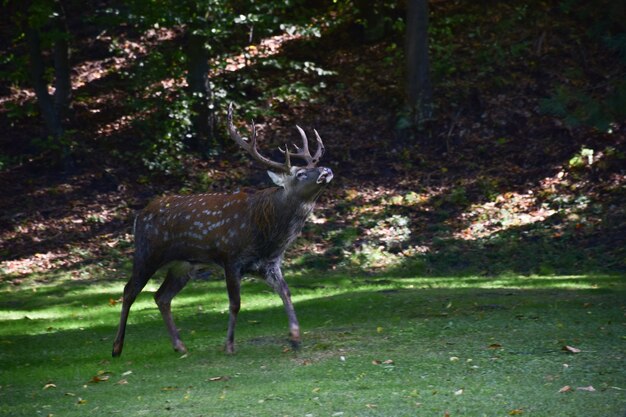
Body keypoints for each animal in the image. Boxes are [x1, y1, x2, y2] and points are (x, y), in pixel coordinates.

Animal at [111, 104, 332, 354]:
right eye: (300, 174)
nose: (326, 170)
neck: (266, 233)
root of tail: (138, 216)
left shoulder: (269, 264)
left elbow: (286, 292)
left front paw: (295, 337)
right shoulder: (230, 257)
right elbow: (235, 303)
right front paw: (229, 345)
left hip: (183, 265)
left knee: (161, 296)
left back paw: (180, 346)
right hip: (147, 253)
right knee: (129, 290)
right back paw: (117, 347)